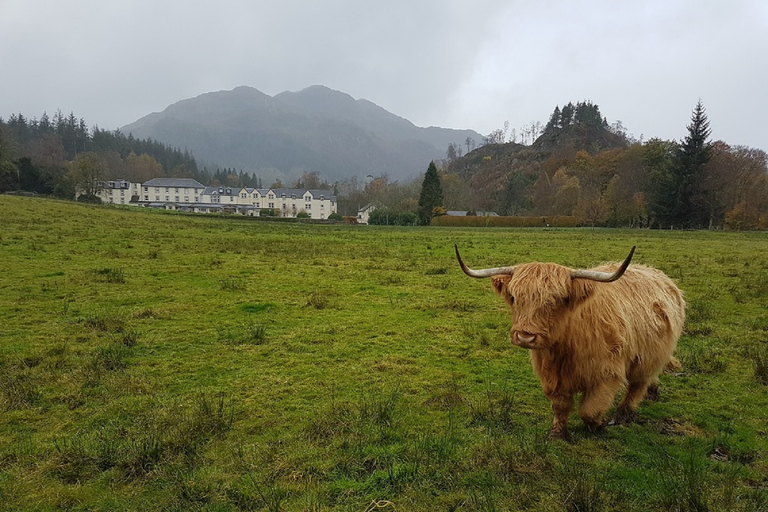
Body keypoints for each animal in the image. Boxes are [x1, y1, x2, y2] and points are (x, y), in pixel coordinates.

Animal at [456, 245, 684, 440]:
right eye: (514, 298)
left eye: (556, 300)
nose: (525, 336)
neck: (565, 345)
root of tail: (659, 275)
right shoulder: (552, 376)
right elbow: (560, 405)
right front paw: (558, 434)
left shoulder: (607, 373)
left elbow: (590, 410)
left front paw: (599, 424)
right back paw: (653, 392)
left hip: (649, 356)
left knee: (638, 384)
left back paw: (623, 415)